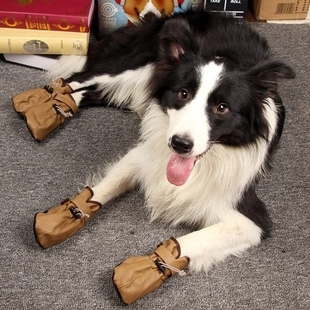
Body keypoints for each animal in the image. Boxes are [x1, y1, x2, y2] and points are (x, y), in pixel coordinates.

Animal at [47, 9, 294, 272]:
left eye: (222, 108)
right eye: (183, 93)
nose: (180, 144)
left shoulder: (248, 219)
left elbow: (189, 242)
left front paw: (143, 269)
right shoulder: (144, 152)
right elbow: (104, 187)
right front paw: (64, 214)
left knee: (93, 92)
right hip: (130, 65)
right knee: (74, 79)